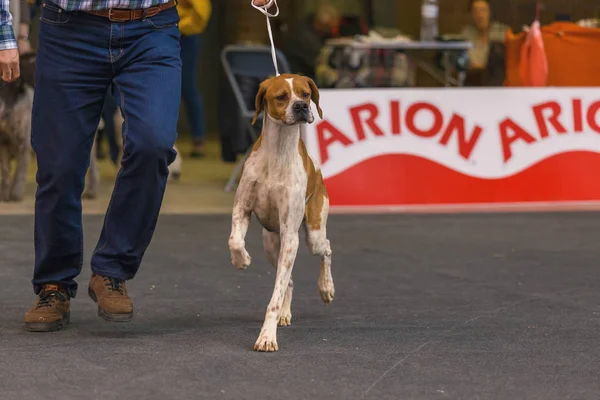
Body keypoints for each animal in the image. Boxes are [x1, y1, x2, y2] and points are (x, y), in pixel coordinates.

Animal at [229, 73, 336, 352]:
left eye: (306, 94)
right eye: (281, 97)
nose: (301, 107)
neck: (278, 152)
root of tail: (316, 167)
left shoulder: (290, 236)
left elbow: (274, 298)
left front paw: (267, 336)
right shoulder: (242, 209)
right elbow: (234, 240)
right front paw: (241, 260)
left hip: (311, 235)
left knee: (326, 249)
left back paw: (326, 288)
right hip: (271, 244)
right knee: (289, 280)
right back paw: (286, 313)